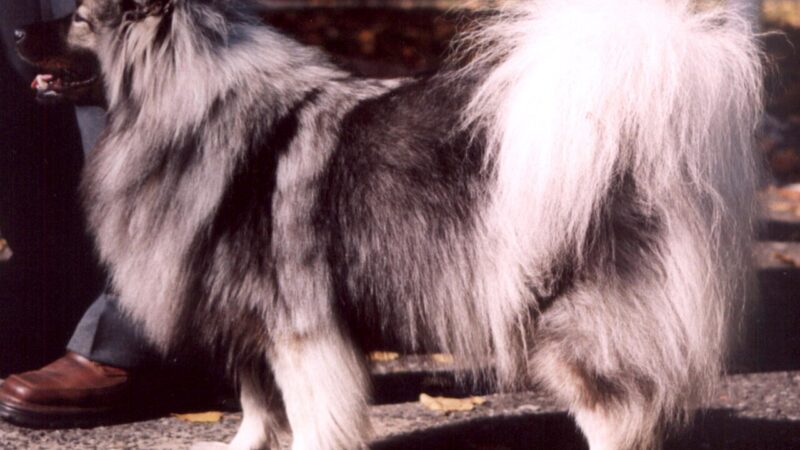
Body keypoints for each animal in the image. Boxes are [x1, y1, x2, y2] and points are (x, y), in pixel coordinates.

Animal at [19, 0, 765, 448]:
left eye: (76, 16)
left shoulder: (299, 328)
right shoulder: (247, 319)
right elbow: (259, 408)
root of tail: (631, 135)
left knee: (616, 415)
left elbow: (311, 414)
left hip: (574, 333)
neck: (188, 112)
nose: (21, 31)